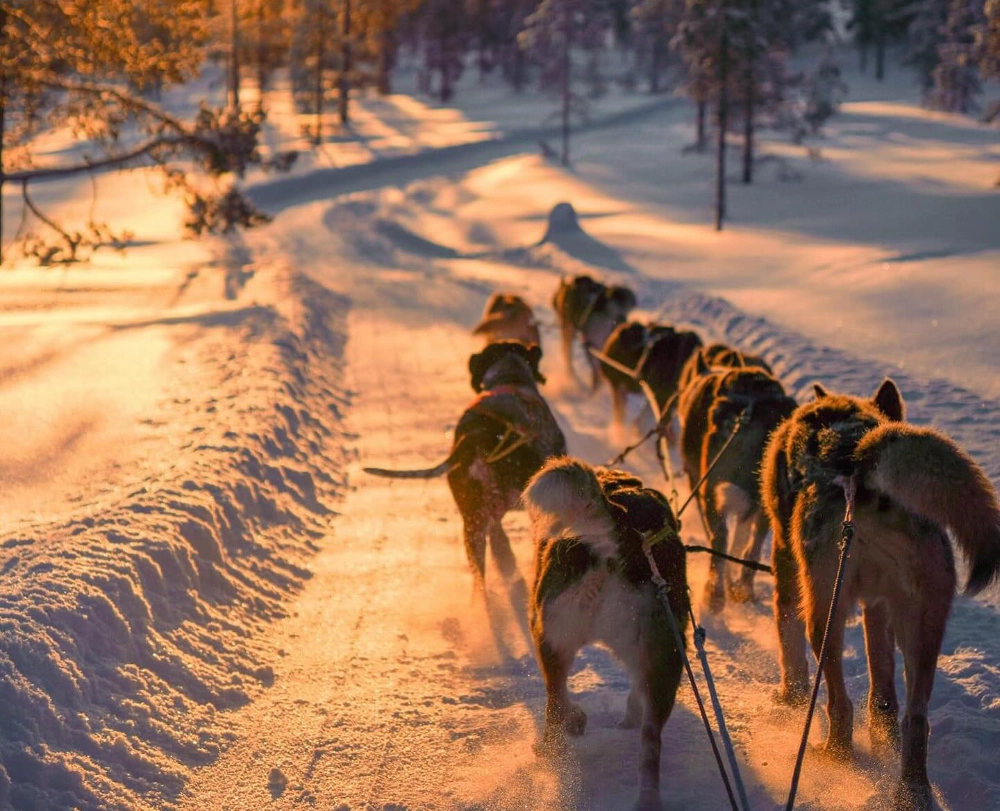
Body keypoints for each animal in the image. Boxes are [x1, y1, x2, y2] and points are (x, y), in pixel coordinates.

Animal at [524, 456, 688, 811]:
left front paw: (575, 720)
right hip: (665, 658)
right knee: (650, 743)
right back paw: (647, 800)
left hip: (551, 637)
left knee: (554, 700)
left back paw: (552, 750)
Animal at [680, 358, 796, 612]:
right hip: (766, 500)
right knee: (750, 548)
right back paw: (741, 590)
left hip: (711, 488)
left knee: (721, 540)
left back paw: (715, 594)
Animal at [756, 380, 1000, 811]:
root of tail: (862, 474)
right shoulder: (879, 606)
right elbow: (883, 686)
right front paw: (882, 733)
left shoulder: (787, 567)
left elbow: (789, 644)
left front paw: (790, 696)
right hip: (921, 631)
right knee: (916, 720)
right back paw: (912, 792)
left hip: (825, 617)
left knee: (838, 704)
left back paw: (835, 757)